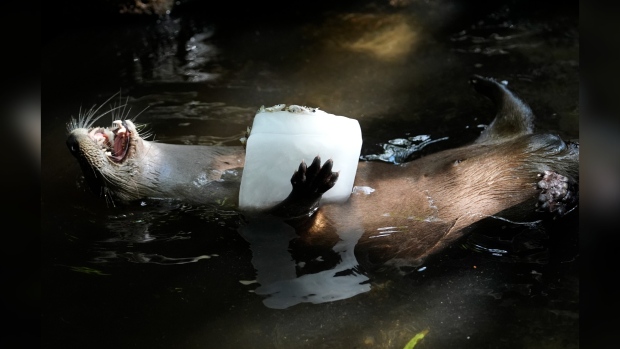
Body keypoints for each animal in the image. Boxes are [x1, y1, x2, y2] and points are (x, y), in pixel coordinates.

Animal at [65, 75, 580, 266]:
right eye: (91, 181)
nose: (70, 144)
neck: (208, 172)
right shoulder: (255, 218)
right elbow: (296, 220)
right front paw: (310, 182)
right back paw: (553, 193)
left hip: (508, 137)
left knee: (517, 118)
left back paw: (492, 88)